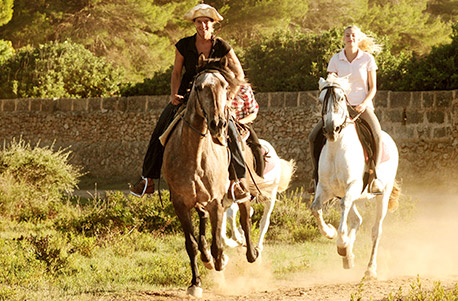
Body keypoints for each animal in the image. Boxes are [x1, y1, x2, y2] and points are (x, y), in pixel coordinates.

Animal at [162, 58, 258, 296]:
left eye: (224, 86)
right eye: (198, 87)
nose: (218, 124)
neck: (194, 154)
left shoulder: (217, 201)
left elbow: (218, 243)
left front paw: (220, 260)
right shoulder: (181, 203)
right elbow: (191, 244)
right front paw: (195, 283)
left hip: (241, 188)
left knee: (245, 217)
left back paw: (251, 253)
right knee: (203, 221)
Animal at [312, 74, 400, 276]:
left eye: (340, 98)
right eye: (320, 100)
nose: (331, 130)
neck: (337, 148)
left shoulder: (353, 186)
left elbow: (343, 207)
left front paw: (341, 243)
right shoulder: (326, 189)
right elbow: (315, 208)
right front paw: (331, 233)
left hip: (382, 196)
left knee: (376, 231)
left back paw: (370, 269)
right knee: (357, 220)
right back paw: (348, 257)